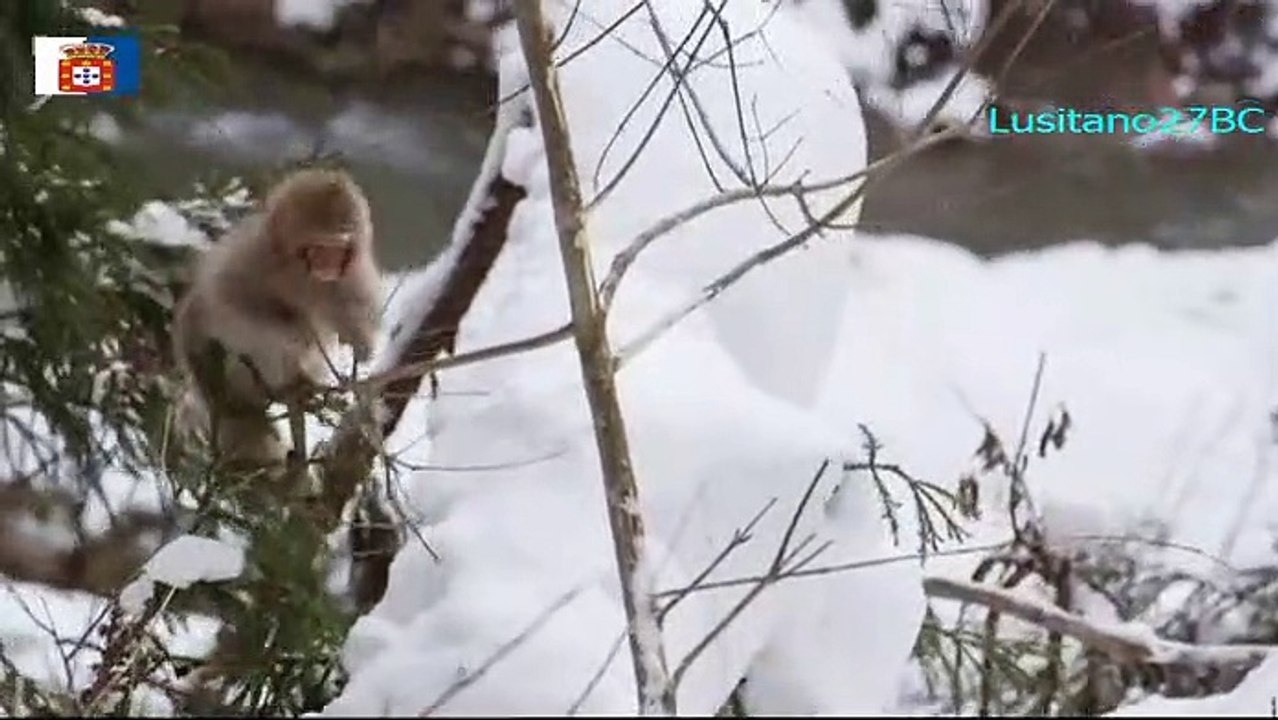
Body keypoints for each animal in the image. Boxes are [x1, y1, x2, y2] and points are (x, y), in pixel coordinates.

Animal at [171, 167, 382, 468]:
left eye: (339, 249)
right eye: (319, 247)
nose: (328, 265)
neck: (299, 271)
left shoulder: (350, 272)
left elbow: (353, 303)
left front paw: (360, 341)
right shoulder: (254, 255)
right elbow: (227, 300)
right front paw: (295, 331)